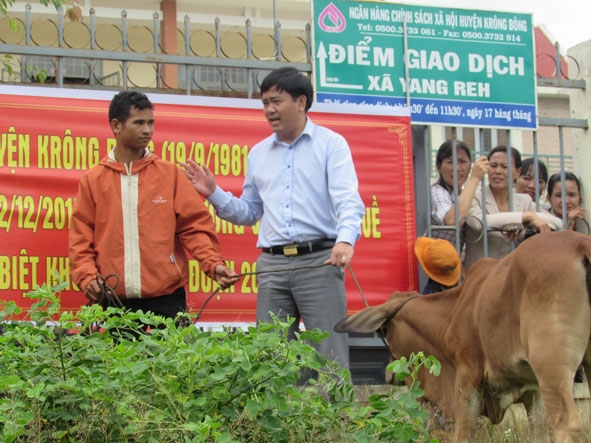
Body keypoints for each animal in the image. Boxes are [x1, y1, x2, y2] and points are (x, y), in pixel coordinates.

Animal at [336, 231, 588, 442]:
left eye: (385, 331)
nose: (389, 375)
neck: (453, 309)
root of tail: (581, 245)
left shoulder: (467, 378)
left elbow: (463, 434)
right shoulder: (533, 393)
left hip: (551, 366)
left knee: (567, 424)